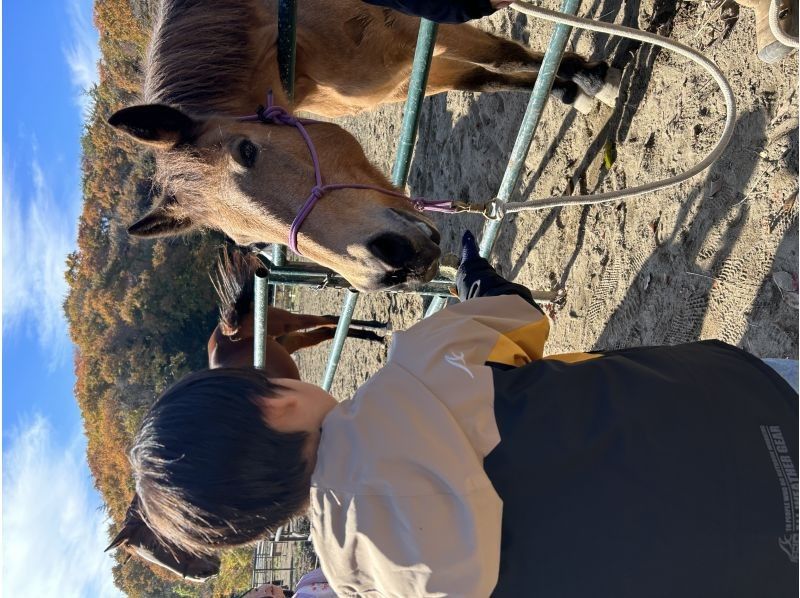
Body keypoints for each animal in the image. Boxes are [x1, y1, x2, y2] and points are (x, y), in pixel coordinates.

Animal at [107, 246, 386, 580]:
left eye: (154, 545)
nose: (204, 575)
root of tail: (226, 328)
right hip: (289, 340)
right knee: (327, 329)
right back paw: (373, 333)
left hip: (287, 324)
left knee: (326, 320)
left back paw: (377, 331)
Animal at [109, 0, 615, 291]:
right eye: (249, 241)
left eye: (247, 150)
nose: (392, 268)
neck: (285, 30)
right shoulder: (405, 73)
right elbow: (486, 78)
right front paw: (568, 86)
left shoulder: (416, 30)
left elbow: (502, 56)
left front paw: (588, 78)